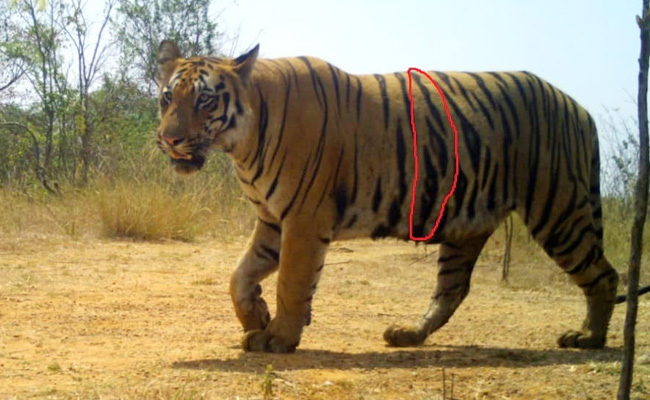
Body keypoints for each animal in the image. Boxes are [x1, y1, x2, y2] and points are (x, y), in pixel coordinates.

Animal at [156, 39, 646, 353]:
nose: (169, 140)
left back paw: (589, 339)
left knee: (604, 275)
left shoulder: (303, 220)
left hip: (559, 209)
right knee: (452, 290)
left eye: (205, 101)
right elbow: (238, 276)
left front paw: (278, 337)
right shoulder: (274, 220)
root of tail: (579, 107)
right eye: (166, 98)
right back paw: (408, 334)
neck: (242, 143)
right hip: (467, 224)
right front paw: (255, 317)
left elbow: (291, 283)